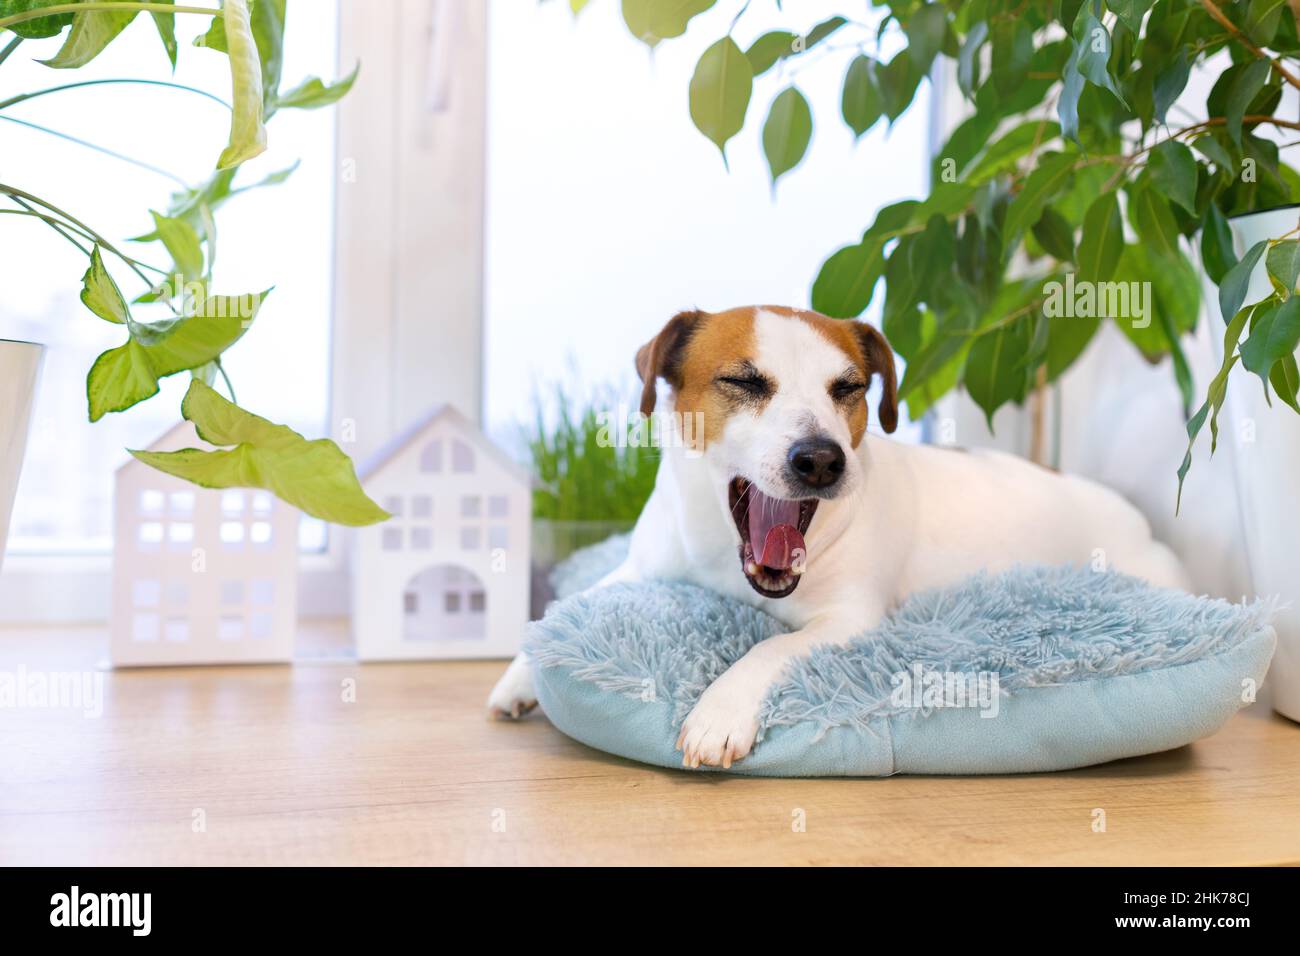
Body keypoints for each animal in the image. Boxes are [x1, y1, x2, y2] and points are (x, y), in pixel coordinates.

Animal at [491, 306, 1190, 770]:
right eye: (744, 382)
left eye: (848, 388)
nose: (821, 459)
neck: (725, 556)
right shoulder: (642, 567)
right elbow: (566, 607)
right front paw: (519, 675)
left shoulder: (851, 617)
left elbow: (768, 649)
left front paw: (719, 710)